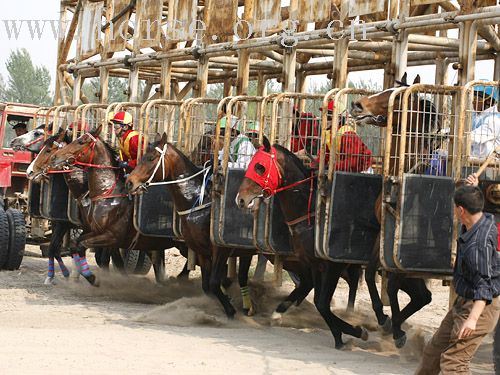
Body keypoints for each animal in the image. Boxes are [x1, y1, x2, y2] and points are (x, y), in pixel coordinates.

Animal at [236, 140, 370, 352]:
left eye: (259, 167)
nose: (240, 199)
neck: (313, 215)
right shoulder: (314, 263)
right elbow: (320, 303)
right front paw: (341, 335)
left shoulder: (332, 265)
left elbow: (322, 303)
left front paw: (352, 332)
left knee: (356, 280)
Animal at [348, 74, 438, 350]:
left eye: (395, 97)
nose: (357, 105)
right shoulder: (383, 234)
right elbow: (369, 273)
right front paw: (383, 317)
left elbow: (391, 284)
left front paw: (396, 327)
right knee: (422, 296)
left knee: (418, 293)